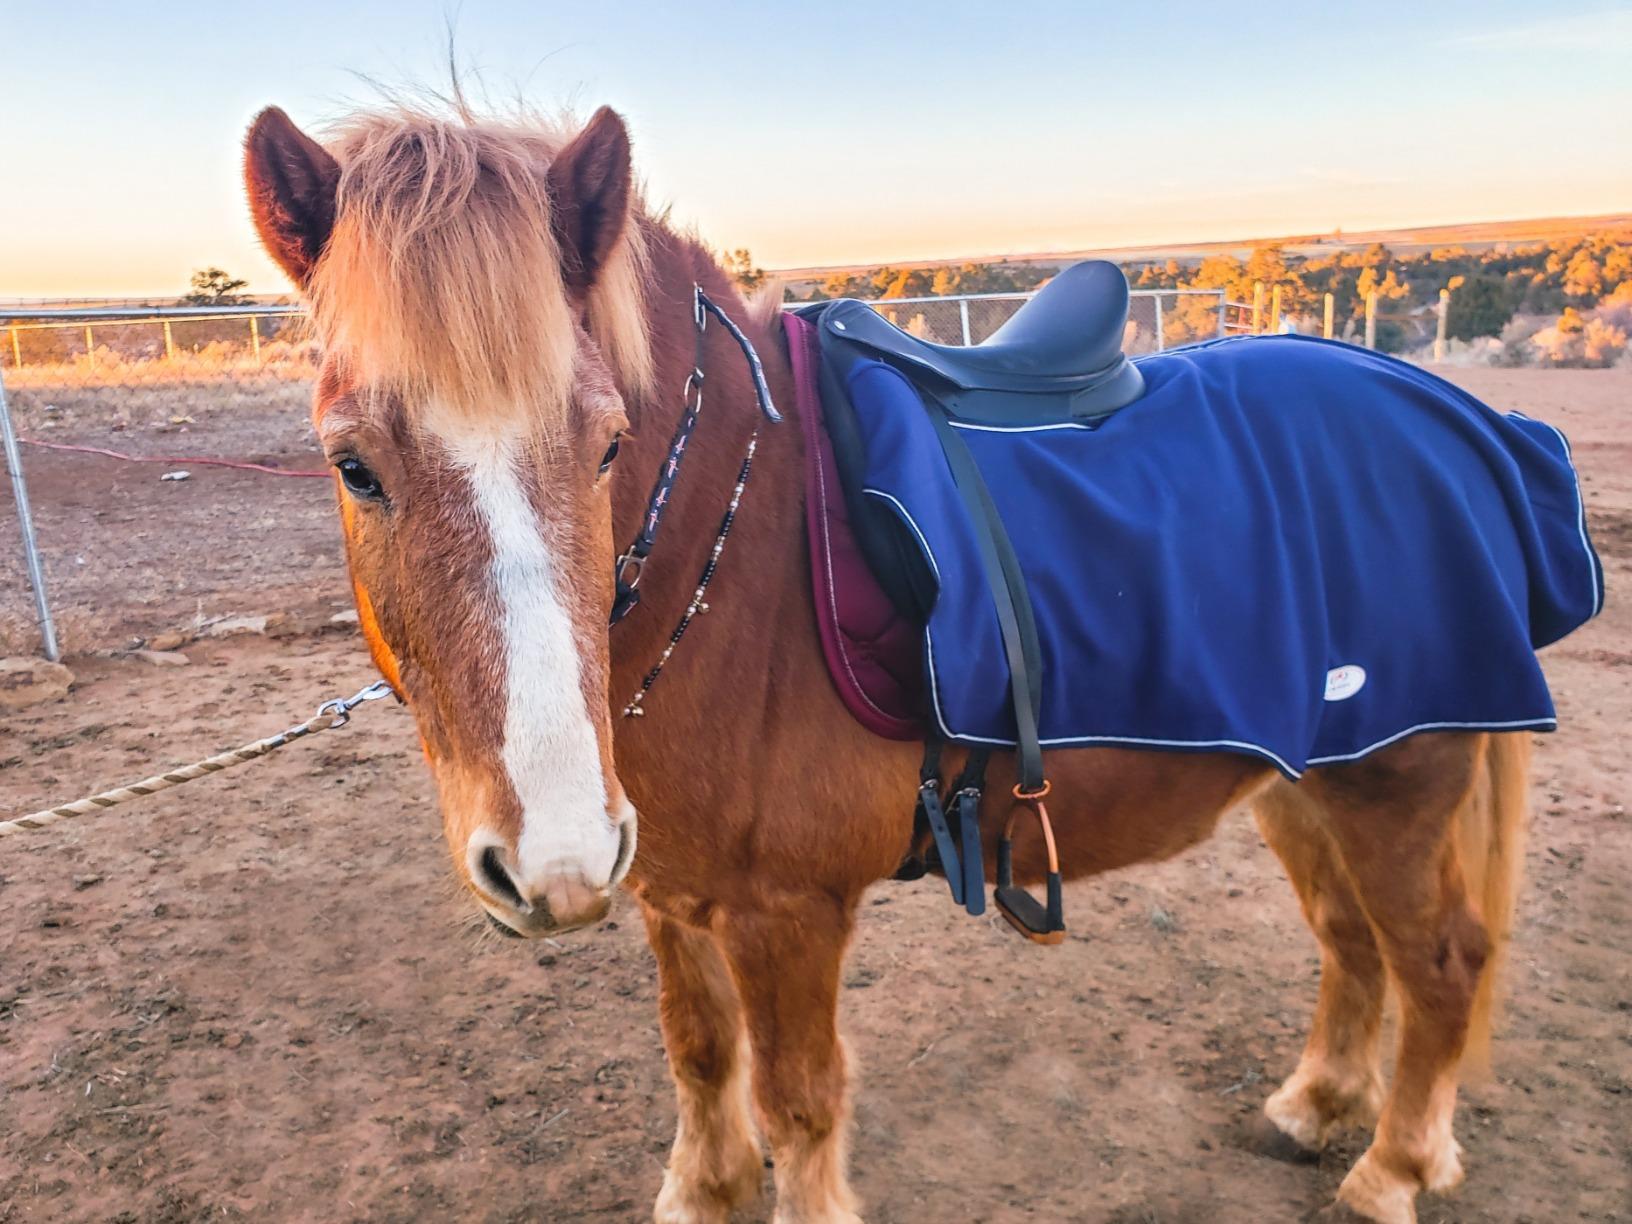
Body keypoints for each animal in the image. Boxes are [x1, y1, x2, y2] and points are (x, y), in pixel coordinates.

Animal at [242, 101, 1542, 1224]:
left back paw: (1392, 1170)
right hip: (1303, 779)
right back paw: (1314, 1107)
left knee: (1439, 962)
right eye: (353, 466)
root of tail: (1459, 420)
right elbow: (699, 1053)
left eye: (607, 444)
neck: (733, 544)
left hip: (1396, 785)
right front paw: (704, 1190)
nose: (551, 860)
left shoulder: (787, 912)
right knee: (1351, 939)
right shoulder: (667, 886)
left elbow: (799, 1103)